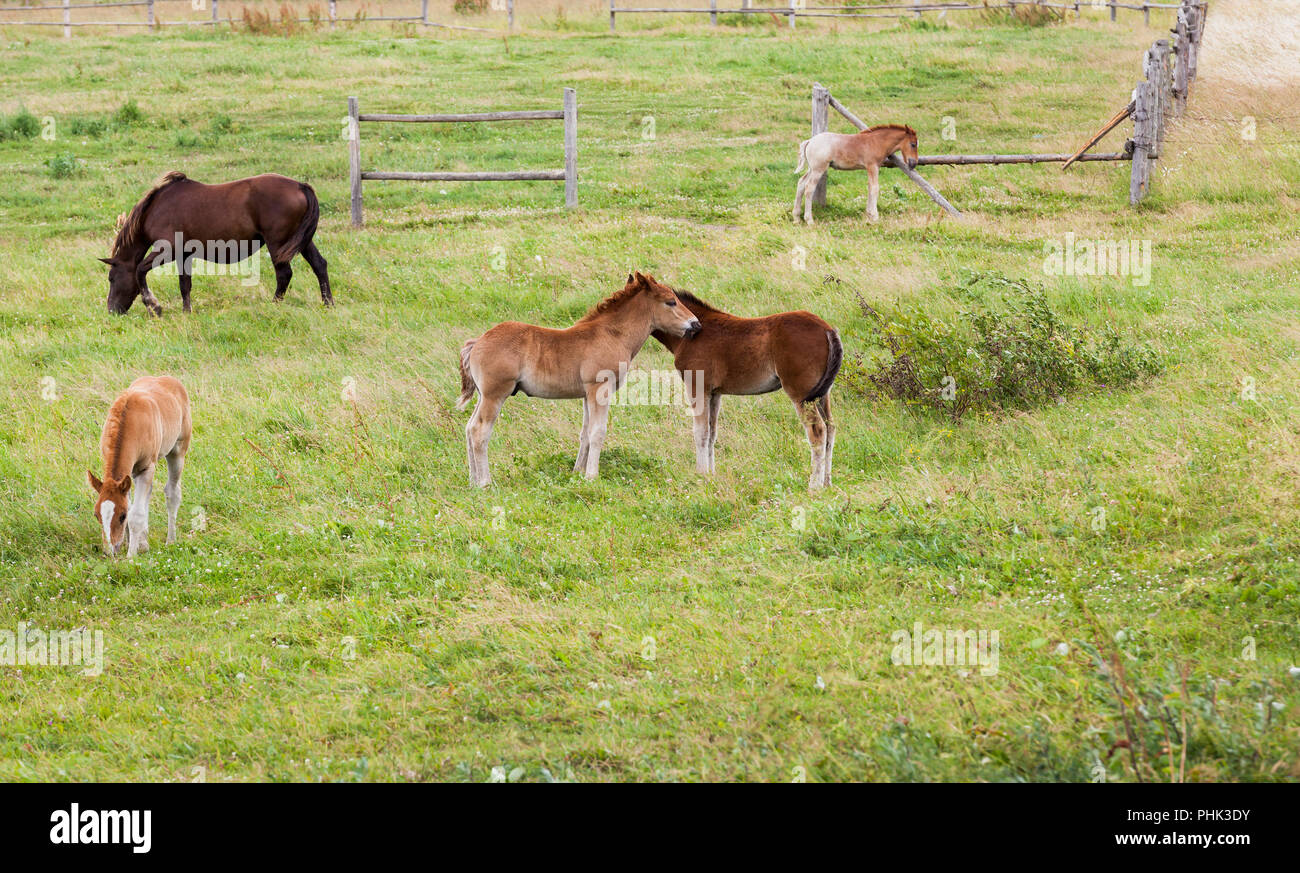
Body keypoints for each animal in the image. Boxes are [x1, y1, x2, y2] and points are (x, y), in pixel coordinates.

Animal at [87, 376, 192, 558]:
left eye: (122, 516)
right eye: (96, 514)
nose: (110, 551)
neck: (130, 420)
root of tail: (170, 379)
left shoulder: (146, 468)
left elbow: (135, 514)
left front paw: (130, 556)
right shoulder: (127, 474)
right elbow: (133, 505)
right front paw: (135, 545)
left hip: (178, 451)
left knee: (173, 493)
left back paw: (170, 541)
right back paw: (143, 543)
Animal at [99, 171, 332, 315]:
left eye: (111, 278)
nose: (111, 310)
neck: (157, 208)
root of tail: (300, 186)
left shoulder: (167, 250)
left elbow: (140, 270)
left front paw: (153, 306)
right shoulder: (183, 254)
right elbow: (184, 284)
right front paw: (187, 311)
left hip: (278, 244)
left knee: (284, 274)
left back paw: (274, 304)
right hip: (302, 242)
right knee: (319, 265)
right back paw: (328, 303)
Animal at [456, 272, 702, 487]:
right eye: (671, 302)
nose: (696, 325)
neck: (612, 335)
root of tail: (478, 341)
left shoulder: (586, 395)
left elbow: (585, 433)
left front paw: (577, 472)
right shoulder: (599, 389)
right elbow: (598, 432)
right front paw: (592, 476)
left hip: (484, 396)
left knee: (469, 428)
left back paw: (472, 481)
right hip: (495, 395)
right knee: (479, 431)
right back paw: (485, 483)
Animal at [651, 293, 842, 492]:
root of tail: (827, 329)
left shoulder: (697, 386)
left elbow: (701, 433)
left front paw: (701, 476)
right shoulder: (714, 393)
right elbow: (712, 433)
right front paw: (711, 476)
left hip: (801, 395)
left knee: (818, 431)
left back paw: (814, 486)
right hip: (822, 394)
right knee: (830, 428)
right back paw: (827, 483)